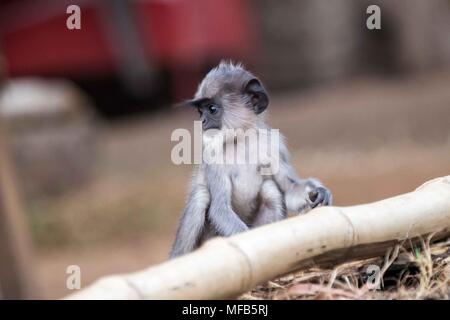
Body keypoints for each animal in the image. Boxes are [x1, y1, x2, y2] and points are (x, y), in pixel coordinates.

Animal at [171, 62, 332, 258]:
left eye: (212, 109)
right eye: (200, 111)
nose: (202, 121)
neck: (241, 140)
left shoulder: (274, 144)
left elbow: (289, 189)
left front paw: (319, 191)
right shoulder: (212, 156)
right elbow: (220, 208)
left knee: (270, 189)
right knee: (200, 195)